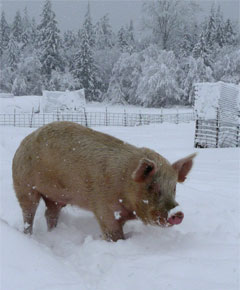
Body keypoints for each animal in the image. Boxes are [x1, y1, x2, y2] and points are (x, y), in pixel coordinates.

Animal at [12, 121, 196, 241]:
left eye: (174, 188)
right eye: (152, 186)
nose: (177, 213)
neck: (125, 182)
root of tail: (23, 142)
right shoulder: (103, 207)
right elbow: (113, 233)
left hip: (55, 197)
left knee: (50, 213)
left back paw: (54, 233)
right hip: (23, 185)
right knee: (28, 212)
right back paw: (28, 236)